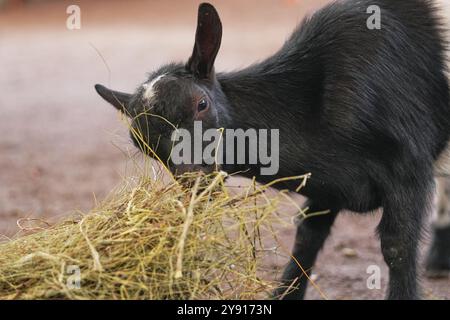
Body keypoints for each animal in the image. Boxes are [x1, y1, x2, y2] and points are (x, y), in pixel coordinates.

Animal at [95, 0, 450, 300]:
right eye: (141, 143)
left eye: (201, 104)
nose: (193, 181)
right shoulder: (329, 185)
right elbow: (307, 237)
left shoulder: (408, 169)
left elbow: (397, 246)